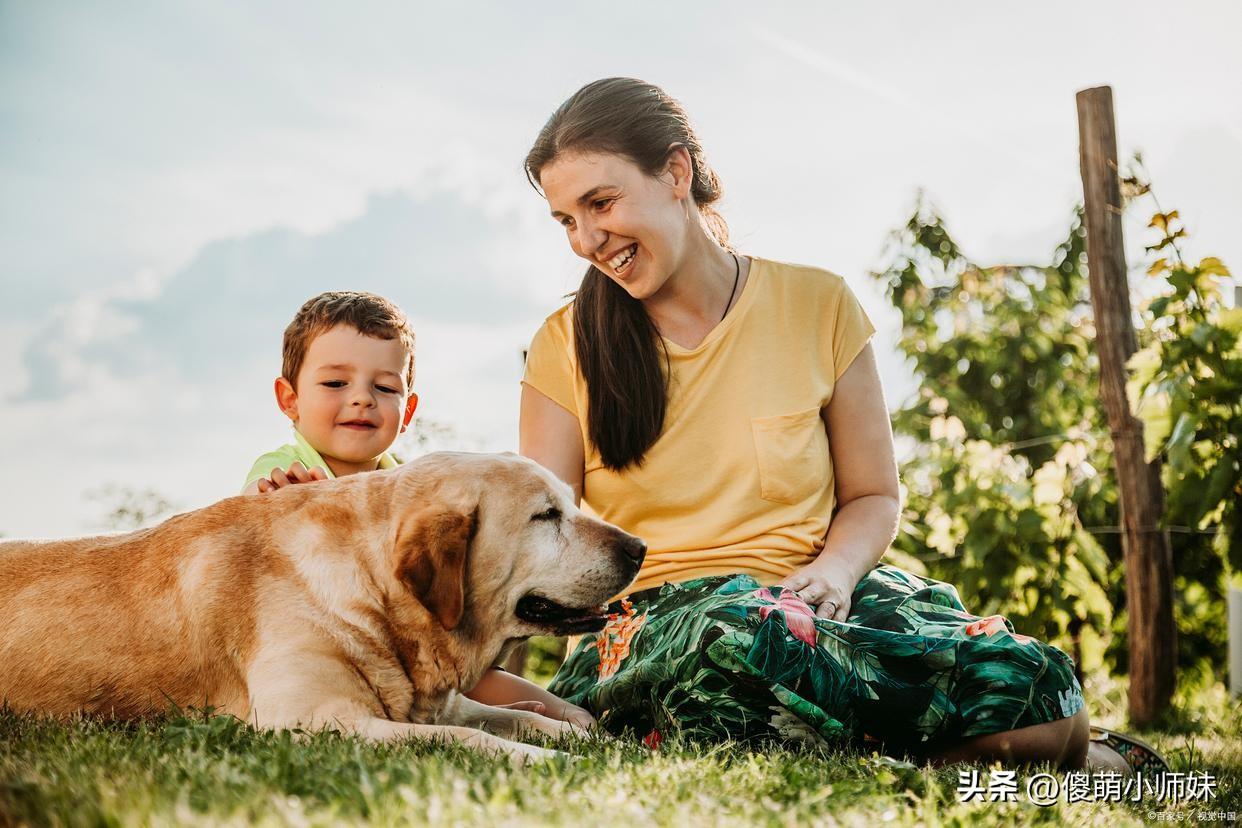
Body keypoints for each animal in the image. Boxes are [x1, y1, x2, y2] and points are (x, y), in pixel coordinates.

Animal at [0, 454, 640, 764]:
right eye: (546, 516)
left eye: (568, 503)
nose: (637, 548)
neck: (375, 593)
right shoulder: (315, 722)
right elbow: (470, 739)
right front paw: (554, 762)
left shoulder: (435, 702)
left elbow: (533, 719)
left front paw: (600, 741)